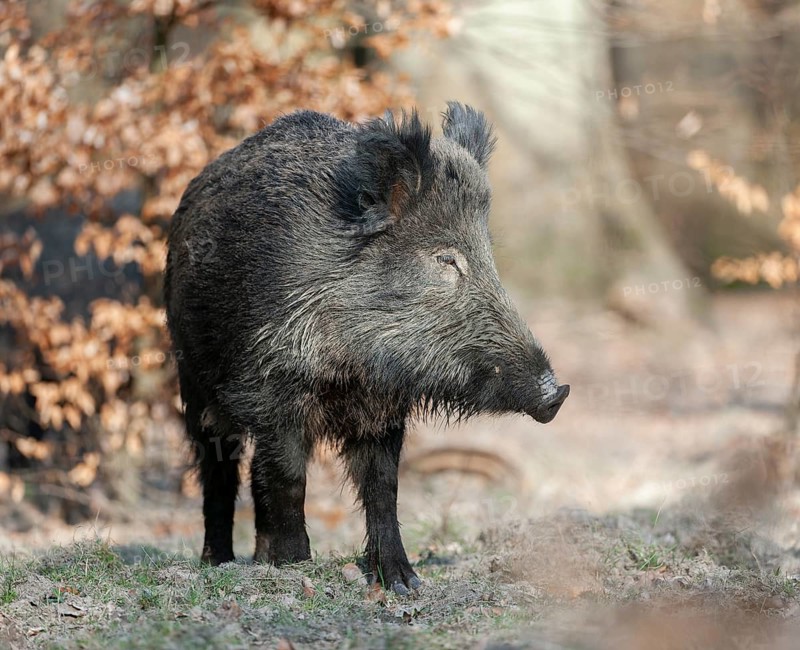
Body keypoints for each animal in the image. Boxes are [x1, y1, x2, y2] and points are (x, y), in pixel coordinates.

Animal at [163, 102, 569, 595]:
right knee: (219, 469)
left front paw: (403, 582)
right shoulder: (272, 384)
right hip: (193, 381)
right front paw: (296, 565)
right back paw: (219, 562)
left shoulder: (382, 406)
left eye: (488, 255)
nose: (557, 392)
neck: (350, 364)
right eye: (446, 259)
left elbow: (382, 488)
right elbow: (287, 477)